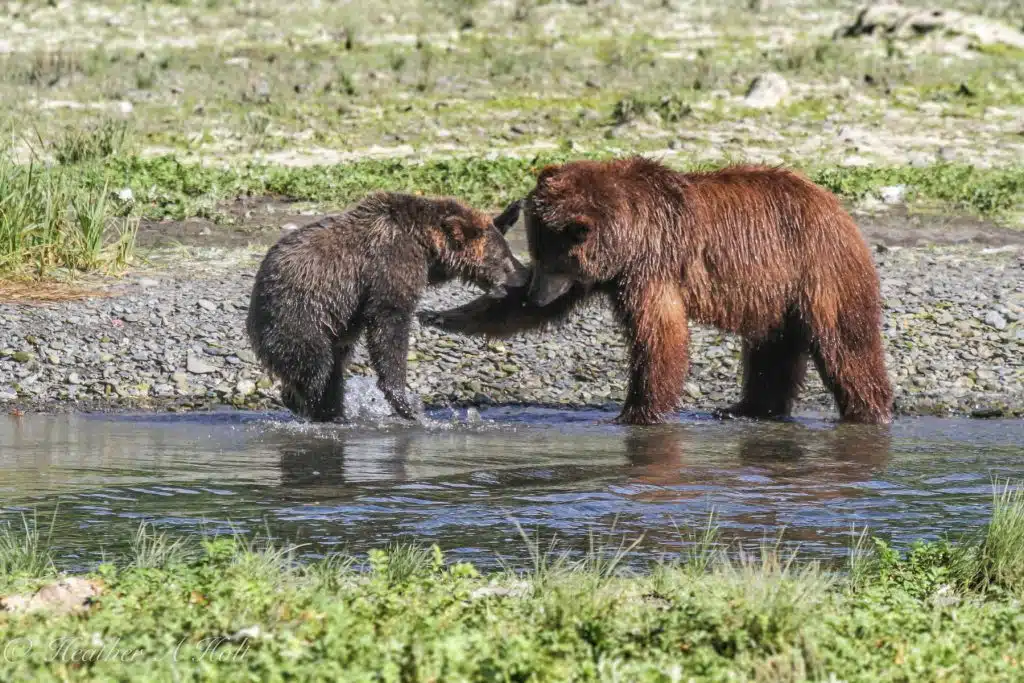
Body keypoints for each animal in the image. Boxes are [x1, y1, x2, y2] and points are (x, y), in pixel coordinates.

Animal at [247, 192, 527, 422]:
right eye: (504, 258)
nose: (522, 276)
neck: (425, 242)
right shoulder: (391, 262)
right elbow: (389, 322)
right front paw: (405, 403)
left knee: (333, 367)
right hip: (299, 315)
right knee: (316, 365)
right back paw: (320, 409)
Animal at [419, 157, 893, 426]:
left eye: (554, 260)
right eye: (535, 254)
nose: (536, 293)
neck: (625, 235)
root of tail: (838, 208)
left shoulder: (651, 265)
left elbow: (659, 335)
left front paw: (635, 412)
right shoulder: (605, 274)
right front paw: (441, 315)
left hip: (818, 271)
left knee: (845, 345)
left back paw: (868, 410)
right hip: (775, 294)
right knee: (770, 351)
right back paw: (748, 408)